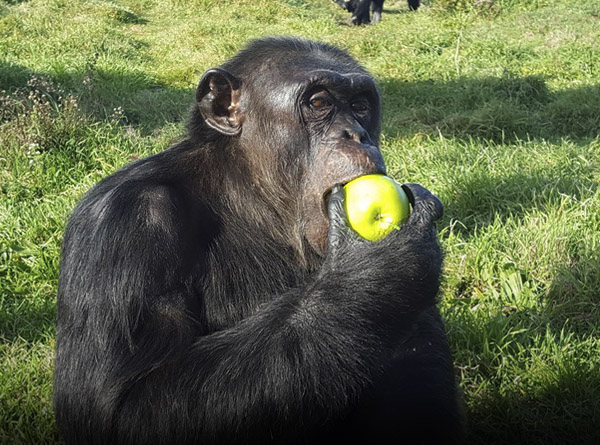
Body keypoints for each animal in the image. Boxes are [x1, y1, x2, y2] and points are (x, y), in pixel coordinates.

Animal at [54, 38, 464, 444]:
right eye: (319, 103)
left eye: (360, 106)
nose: (356, 135)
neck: (251, 200)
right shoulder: (125, 226)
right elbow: (119, 405)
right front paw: (371, 273)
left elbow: (416, 369)